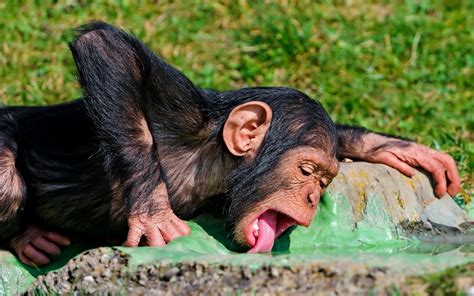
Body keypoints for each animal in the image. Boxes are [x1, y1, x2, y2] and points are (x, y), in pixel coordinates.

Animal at [0, 21, 460, 266]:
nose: (313, 197)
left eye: (325, 182)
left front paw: (392, 146)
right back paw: (26, 238)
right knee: (7, 178)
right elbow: (106, 49)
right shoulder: (181, 112)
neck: (214, 163)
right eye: (306, 171)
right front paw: (153, 211)